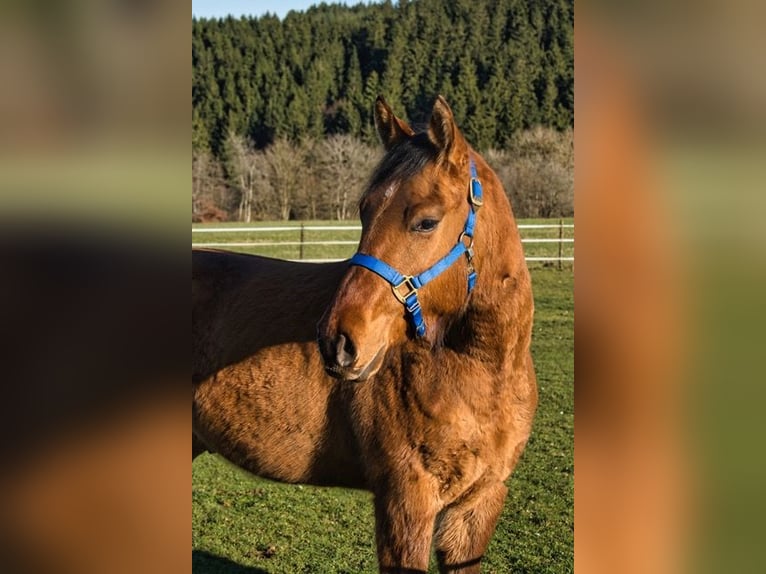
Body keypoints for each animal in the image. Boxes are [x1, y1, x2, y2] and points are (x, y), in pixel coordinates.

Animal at [192, 95, 537, 573]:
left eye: (426, 222)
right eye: (364, 211)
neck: (483, 373)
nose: (336, 342)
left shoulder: (478, 505)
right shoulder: (405, 501)